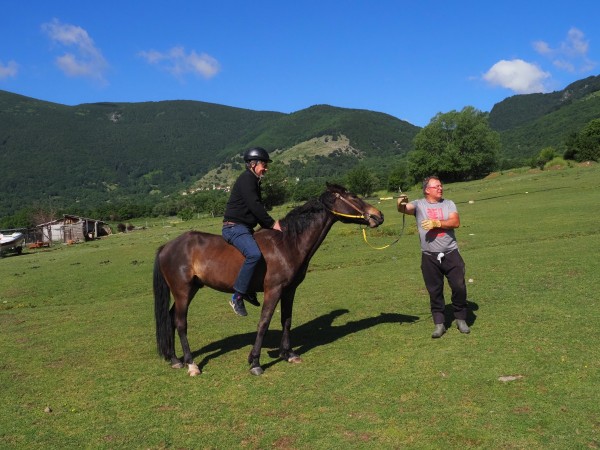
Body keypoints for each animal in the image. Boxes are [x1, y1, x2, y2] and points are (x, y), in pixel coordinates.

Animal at [153, 183, 384, 376]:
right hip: (183, 291)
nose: (378, 215)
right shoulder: (273, 290)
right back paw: (191, 363)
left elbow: (286, 320)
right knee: (180, 322)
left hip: (190, 289)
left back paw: (175, 359)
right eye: (353, 197)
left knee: (171, 318)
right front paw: (255, 362)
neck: (287, 243)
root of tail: (167, 246)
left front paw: (288, 354)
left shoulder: (289, 290)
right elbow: (264, 322)